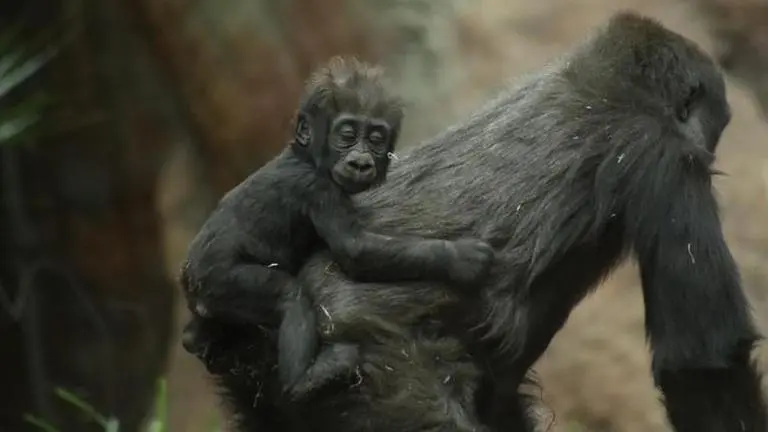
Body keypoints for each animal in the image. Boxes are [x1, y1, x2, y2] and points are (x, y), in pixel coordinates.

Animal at [178, 56, 496, 404]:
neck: (305, 155)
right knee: (289, 297)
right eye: (347, 135)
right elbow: (355, 248)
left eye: (376, 139)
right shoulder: (317, 189)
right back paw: (305, 380)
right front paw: (460, 257)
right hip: (218, 281)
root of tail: (189, 279)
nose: (360, 162)